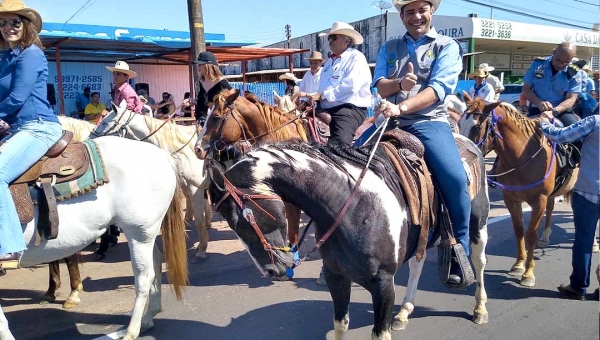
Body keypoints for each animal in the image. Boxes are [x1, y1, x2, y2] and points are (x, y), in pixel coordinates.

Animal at [0, 136, 188, 340]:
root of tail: (162, 155)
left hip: (139, 234)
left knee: (144, 277)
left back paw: (131, 331)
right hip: (145, 235)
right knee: (156, 262)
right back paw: (148, 318)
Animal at [59, 110, 213, 258]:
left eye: (105, 122)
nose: (88, 140)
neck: (185, 149)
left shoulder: (195, 188)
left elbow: (199, 220)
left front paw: (202, 249)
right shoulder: (188, 187)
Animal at [209, 138, 490, 340]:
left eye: (240, 220)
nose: (269, 271)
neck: (350, 205)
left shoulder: (383, 283)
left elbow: (379, 333)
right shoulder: (336, 276)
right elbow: (340, 324)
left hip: (478, 226)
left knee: (479, 262)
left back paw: (480, 309)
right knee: (417, 264)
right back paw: (404, 313)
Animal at [462, 93, 580, 286]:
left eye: (478, 126)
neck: (521, 157)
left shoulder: (538, 201)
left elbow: (530, 234)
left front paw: (528, 273)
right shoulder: (511, 199)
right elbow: (518, 230)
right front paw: (518, 265)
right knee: (551, 209)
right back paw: (545, 237)